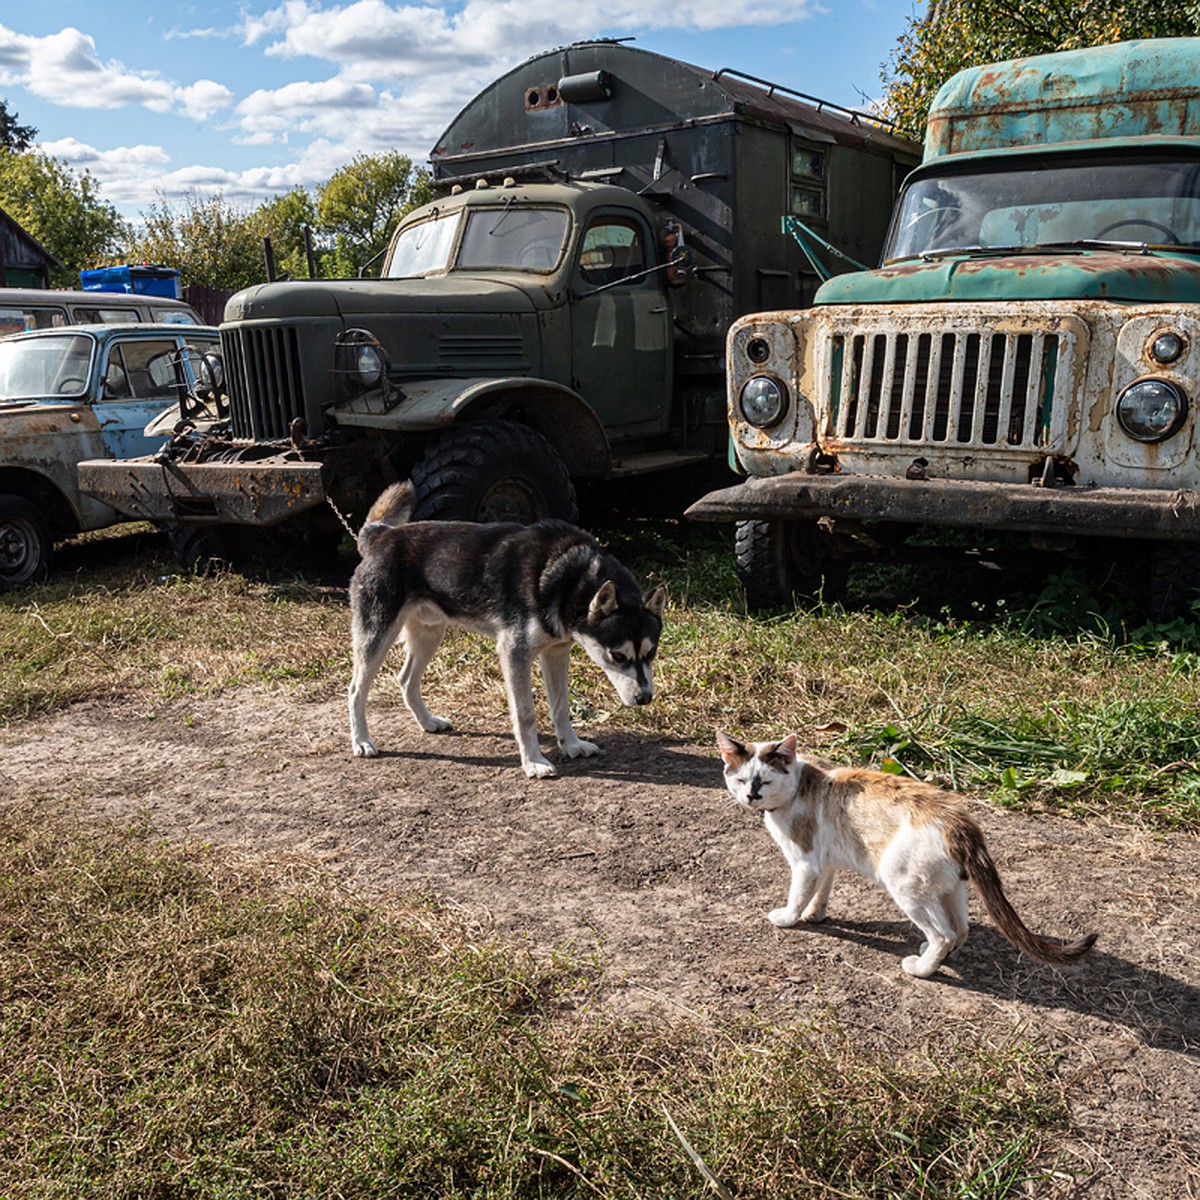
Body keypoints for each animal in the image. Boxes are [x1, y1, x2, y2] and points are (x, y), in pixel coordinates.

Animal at [348, 484, 667, 777]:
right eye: (618, 656)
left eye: (651, 652)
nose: (645, 698)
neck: (569, 577)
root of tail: (380, 535)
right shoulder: (514, 653)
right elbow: (525, 714)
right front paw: (534, 762)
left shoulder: (556, 653)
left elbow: (561, 707)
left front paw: (572, 745)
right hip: (377, 637)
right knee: (355, 690)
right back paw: (362, 741)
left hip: (429, 634)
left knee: (405, 680)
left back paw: (427, 722)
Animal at [715, 729, 1099, 974]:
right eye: (740, 780)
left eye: (764, 781)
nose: (751, 796)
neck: (798, 785)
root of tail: (958, 820)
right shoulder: (825, 862)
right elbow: (821, 892)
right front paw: (816, 914)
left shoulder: (805, 862)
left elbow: (797, 895)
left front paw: (790, 918)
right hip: (949, 889)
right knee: (961, 930)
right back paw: (933, 957)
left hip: (903, 884)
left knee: (945, 934)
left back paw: (923, 969)